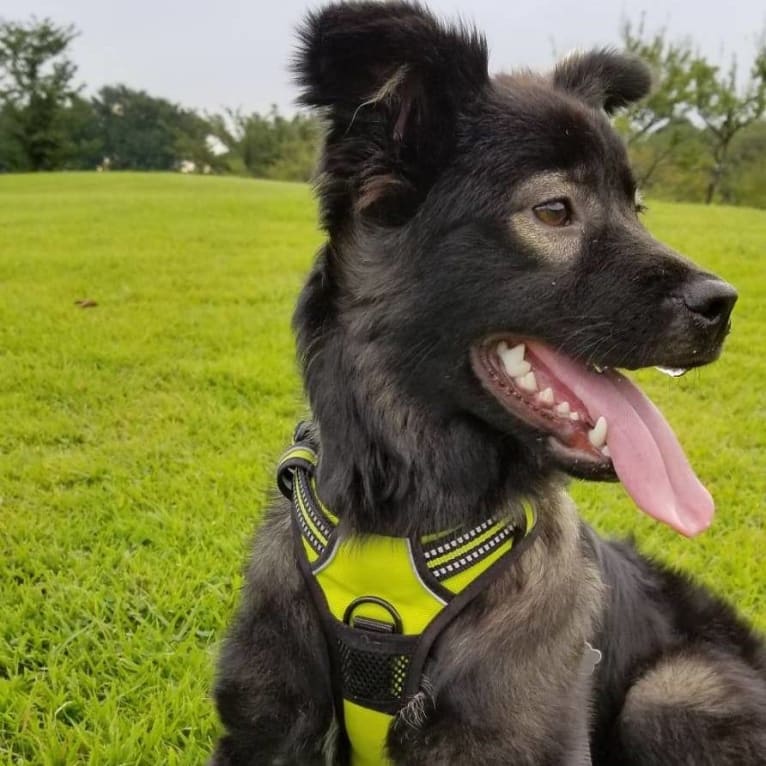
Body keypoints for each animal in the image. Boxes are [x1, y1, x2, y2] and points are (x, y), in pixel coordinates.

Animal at [210, 3, 766, 764]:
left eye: (636, 208)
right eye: (555, 210)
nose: (723, 305)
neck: (405, 515)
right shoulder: (267, 721)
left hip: (667, 697)